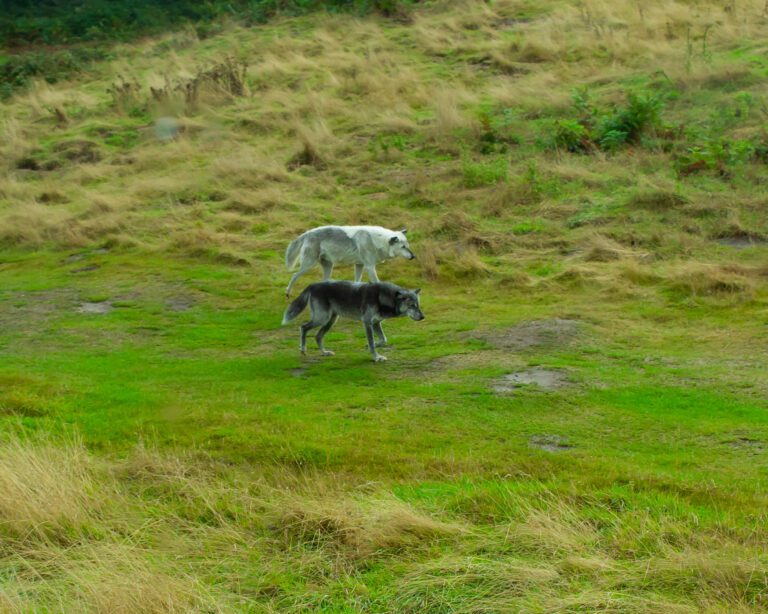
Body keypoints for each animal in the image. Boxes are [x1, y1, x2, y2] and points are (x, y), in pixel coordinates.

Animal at [282, 281, 424, 362]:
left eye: (418, 305)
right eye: (412, 306)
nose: (423, 317)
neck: (383, 297)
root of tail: (312, 285)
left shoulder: (376, 323)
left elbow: (383, 340)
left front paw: (372, 347)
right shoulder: (367, 323)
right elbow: (372, 343)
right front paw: (376, 357)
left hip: (331, 321)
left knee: (318, 336)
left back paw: (324, 352)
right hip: (322, 319)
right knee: (303, 327)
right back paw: (303, 349)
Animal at [284, 225, 415, 296]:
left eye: (408, 246)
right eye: (403, 247)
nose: (413, 256)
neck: (377, 241)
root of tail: (307, 233)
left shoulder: (359, 265)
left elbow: (357, 281)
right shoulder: (369, 267)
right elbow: (378, 283)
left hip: (328, 267)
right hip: (309, 265)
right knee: (294, 275)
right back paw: (288, 292)